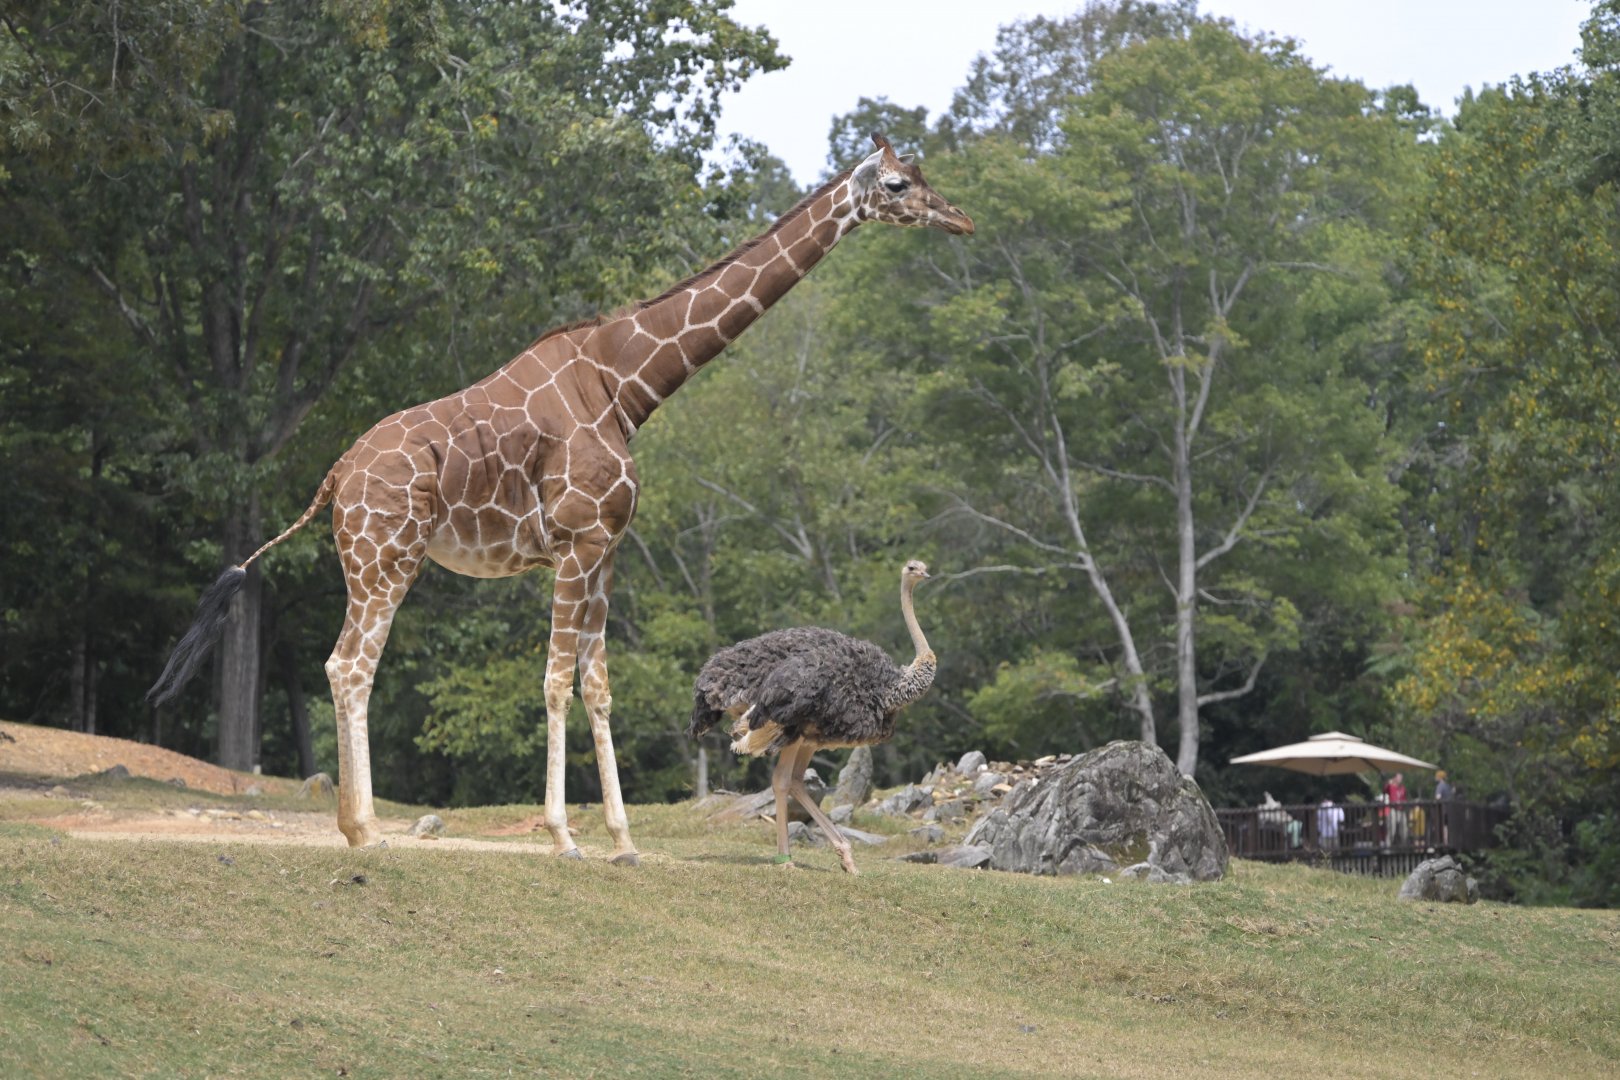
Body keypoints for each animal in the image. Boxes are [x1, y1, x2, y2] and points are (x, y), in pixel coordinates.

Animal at [147, 134, 973, 863]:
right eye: (899, 184)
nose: (961, 220)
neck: (624, 385)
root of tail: (334, 477)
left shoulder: (607, 551)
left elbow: (598, 686)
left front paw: (624, 842)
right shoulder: (574, 545)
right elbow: (552, 684)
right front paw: (565, 837)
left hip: (371, 561)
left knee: (346, 666)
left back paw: (359, 827)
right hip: (386, 558)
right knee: (349, 667)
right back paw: (366, 831)